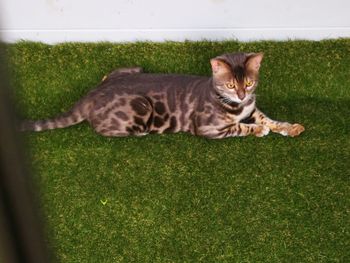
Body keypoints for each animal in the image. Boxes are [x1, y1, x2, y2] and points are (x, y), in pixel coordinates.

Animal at [20, 52, 304, 140]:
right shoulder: (209, 128)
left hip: (132, 68)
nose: (243, 95)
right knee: (103, 128)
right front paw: (257, 130)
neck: (237, 107)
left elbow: (268, 118)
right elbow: (241, 128)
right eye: (231, 85)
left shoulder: (251, 108)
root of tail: (91, 94)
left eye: (248, 82)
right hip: (141, 107)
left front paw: (289, 127)